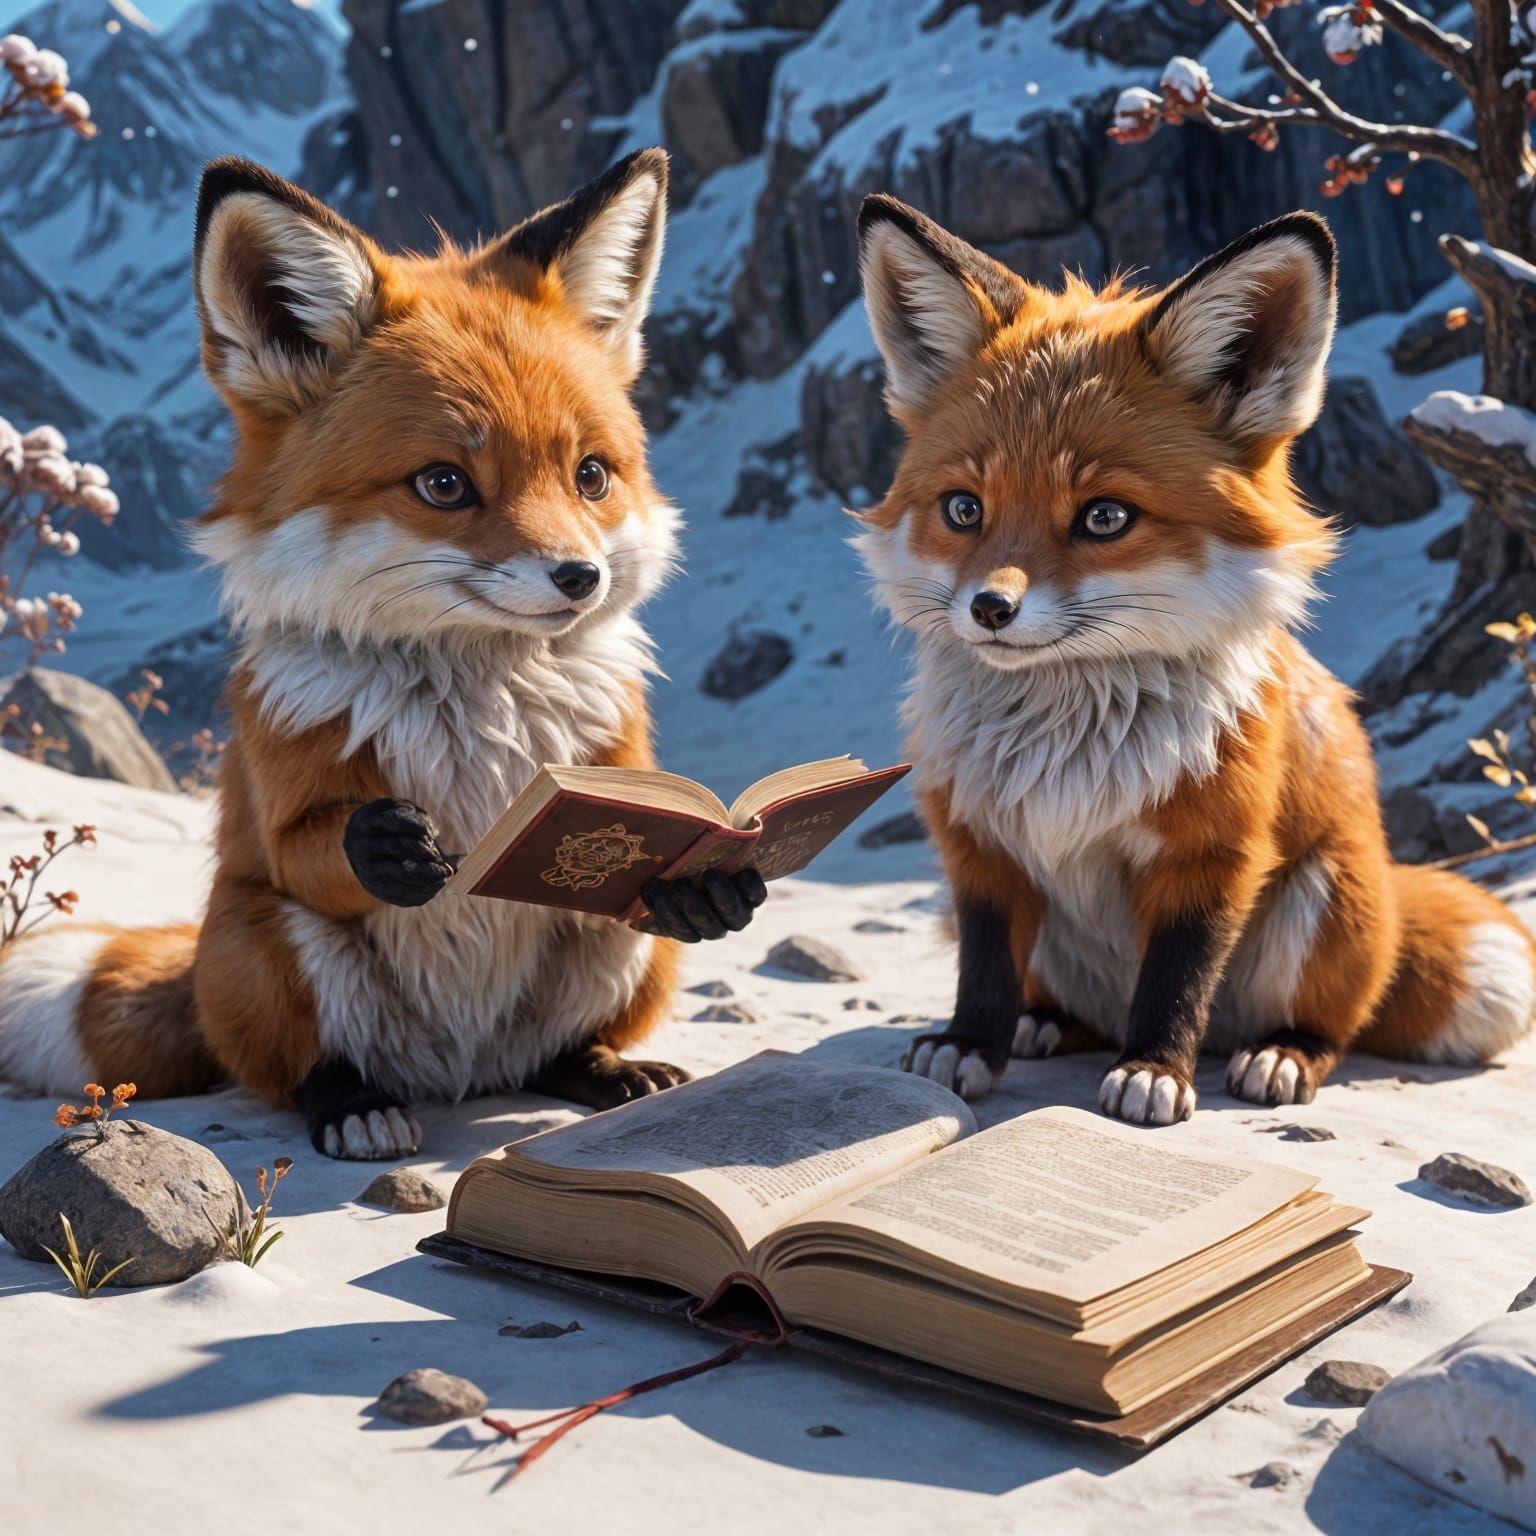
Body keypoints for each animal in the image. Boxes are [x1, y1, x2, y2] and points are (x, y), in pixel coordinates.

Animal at [0, 150, 764, 1158]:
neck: (476, 697)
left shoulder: (611, 761)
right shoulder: (281, 772)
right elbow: (306, 848)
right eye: (444, 484)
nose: (582, 578)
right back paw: (353, 1105)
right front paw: (385, 845)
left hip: (620, 957)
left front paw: (706, 887)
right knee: (300, 1068)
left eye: (591, 475)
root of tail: (461, 1077)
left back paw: (603, 1071)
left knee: (558, 1051)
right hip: (265, 942)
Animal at [853, 196, 1536, 1124]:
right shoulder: (979, 843)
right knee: (1071, 1007)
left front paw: (1154, 1072)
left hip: (1323, 899)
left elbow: (1177, 976)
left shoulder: (1214, 851)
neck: (1066, 753)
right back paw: (1042, 1025)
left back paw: (1278, 1054)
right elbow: (986, 967)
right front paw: (968, 1043)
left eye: (1104, 517)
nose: (990, 609)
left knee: (1330, 1022)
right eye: (963, 509)